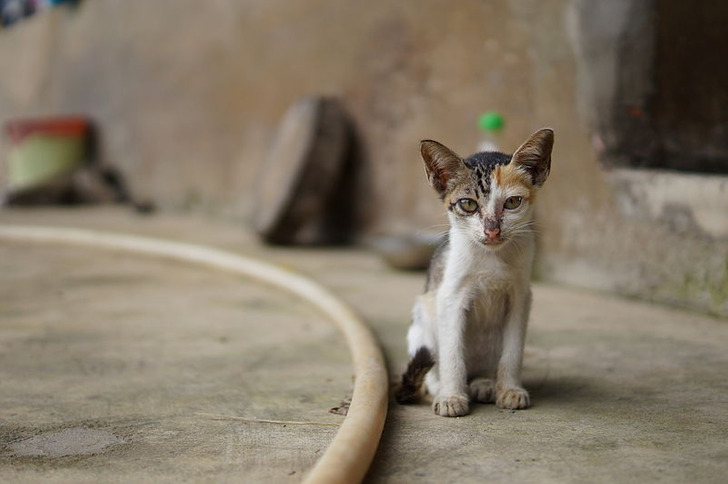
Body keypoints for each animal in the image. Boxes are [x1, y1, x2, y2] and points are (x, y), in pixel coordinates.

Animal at [396, 127, 556, 416]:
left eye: (513, 202)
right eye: (468, 205)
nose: (492, 230)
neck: (492, 257)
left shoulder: (520, 295)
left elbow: (513, 351)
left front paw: (510, 390)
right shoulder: (450, 296)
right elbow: (452, 354)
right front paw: (451, 397)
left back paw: (484, 383)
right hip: (422, 321)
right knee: (430, 365)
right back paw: (440, 386)